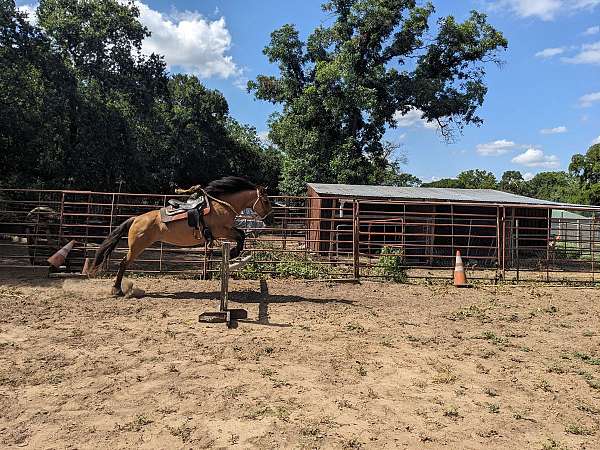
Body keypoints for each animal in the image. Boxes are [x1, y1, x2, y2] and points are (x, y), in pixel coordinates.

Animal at [89, 178, 274, 298]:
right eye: (265, 201)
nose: (271, 219)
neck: (221, 205)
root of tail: (135, 219)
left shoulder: (226, 230)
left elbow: (241, 234)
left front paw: (235, 254)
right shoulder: (221, 231)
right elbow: (240, 235)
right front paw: (235, 253)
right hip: (137, 247)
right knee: (123, 264)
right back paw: (116, 290)